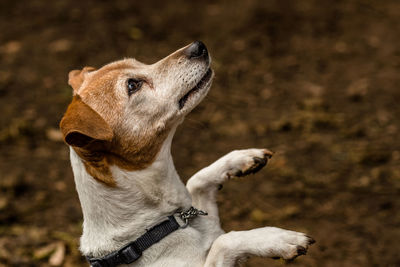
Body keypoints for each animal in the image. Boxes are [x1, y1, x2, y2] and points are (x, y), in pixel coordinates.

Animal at [60, 40, 316, 266]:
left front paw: (242, 158)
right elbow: (225, 241)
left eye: (138, 63)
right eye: (132, 85)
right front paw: (278, 239)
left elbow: (196, 180)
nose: (198, 46)